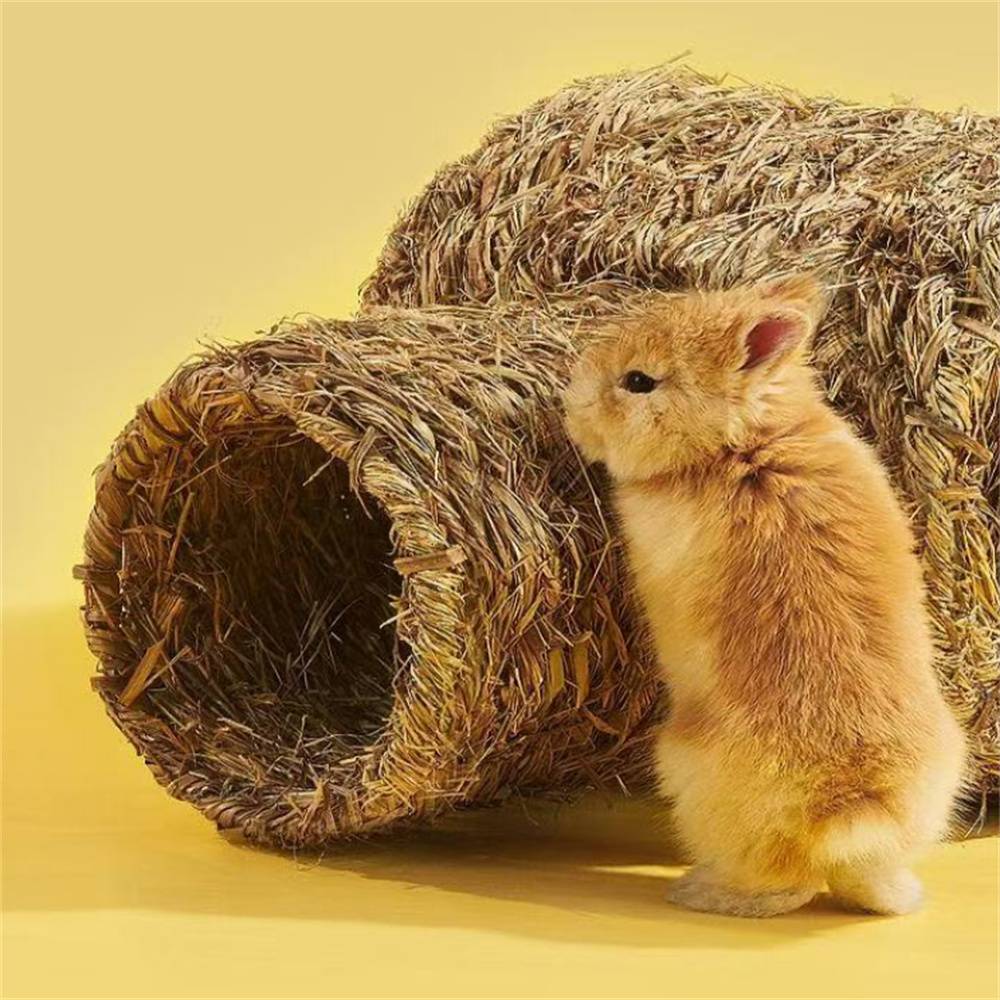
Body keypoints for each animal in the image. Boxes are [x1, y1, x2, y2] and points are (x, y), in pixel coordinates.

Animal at [562, 276, 966, 918]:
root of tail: (848, 804)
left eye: (638, 381)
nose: (571, 406)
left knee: (783, 886)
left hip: (687, 768)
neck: (746, 440)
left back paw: (700, 892)